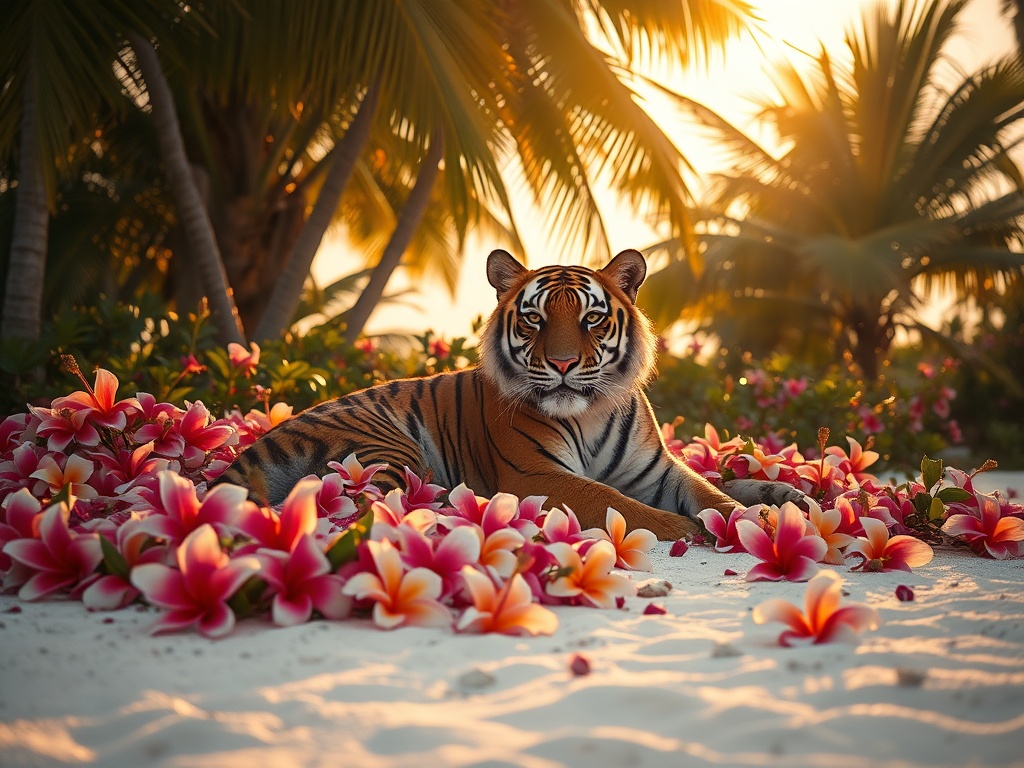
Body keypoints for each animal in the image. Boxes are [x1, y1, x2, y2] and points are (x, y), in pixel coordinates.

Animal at [216, 249, 802, 540]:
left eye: (591, 319)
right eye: (534, 318)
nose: (563, 364)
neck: (591, 413)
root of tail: (264, 438)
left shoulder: (657, 471)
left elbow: (712, 494)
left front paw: (752, 518)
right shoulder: (535, 475)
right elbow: (615, 501)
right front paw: (684, 528)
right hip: (390, 450)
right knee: (356, 507)